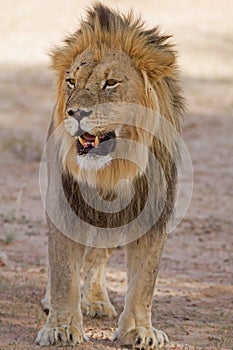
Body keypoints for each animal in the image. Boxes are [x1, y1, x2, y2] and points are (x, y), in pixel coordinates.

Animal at [36, 3, 186, 350]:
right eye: (72, 81)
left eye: (111, 83)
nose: (75, 113)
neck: (112, 170)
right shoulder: (64, 205)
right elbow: (63, 269)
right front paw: (62, 327)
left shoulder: (152, 213)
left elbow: (145, 279)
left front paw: (139, 330)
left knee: (96, 257)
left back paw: (95, 300)